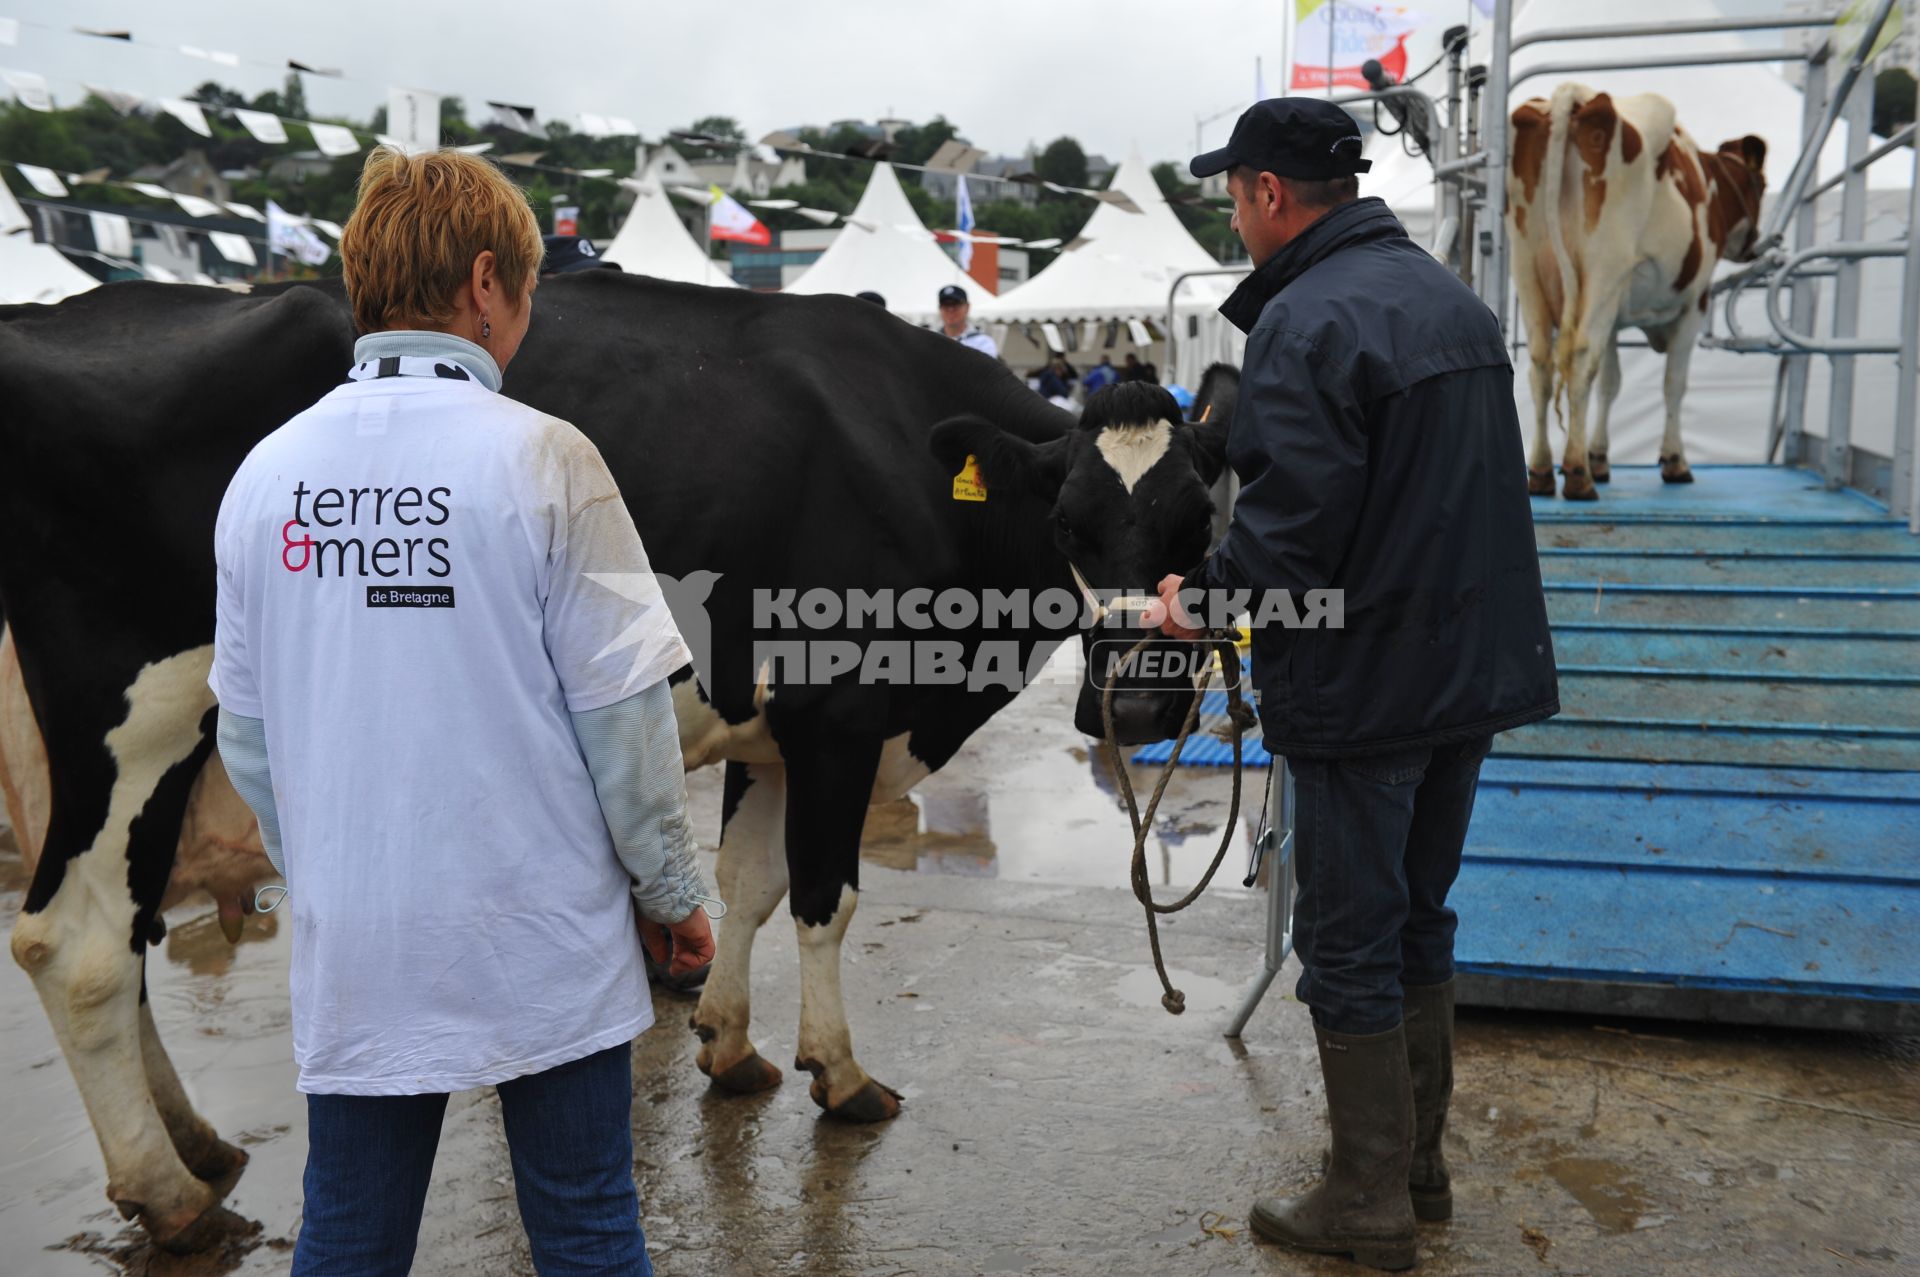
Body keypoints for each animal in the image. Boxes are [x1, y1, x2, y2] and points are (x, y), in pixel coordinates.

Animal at [0, 276, 1228, 1244]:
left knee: (126, 928)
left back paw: (198, 1144)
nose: (1142, 700)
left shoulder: (772, 728)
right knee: (77, 942)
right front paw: (841, 1074)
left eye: (1200, 526)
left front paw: (729, 1045)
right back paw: (170, 1194)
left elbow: (746, 881)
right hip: (139, 718)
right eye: (1069, 527)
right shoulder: (838, 713)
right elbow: (823, 899)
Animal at [1512, 83, 1766, 499]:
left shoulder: (1614, 315)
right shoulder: (1695, 302)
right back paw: (1576, 474)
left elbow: (1609, 383)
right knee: (1579, 356)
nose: (1753, 246)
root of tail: (1575, 95)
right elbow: (1673, 384)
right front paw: (1675, 461)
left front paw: (1600, 457)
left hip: (1528, 267)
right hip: (1604, 265)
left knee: (1541, 365)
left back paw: (1542, 472)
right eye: (1762, 185)